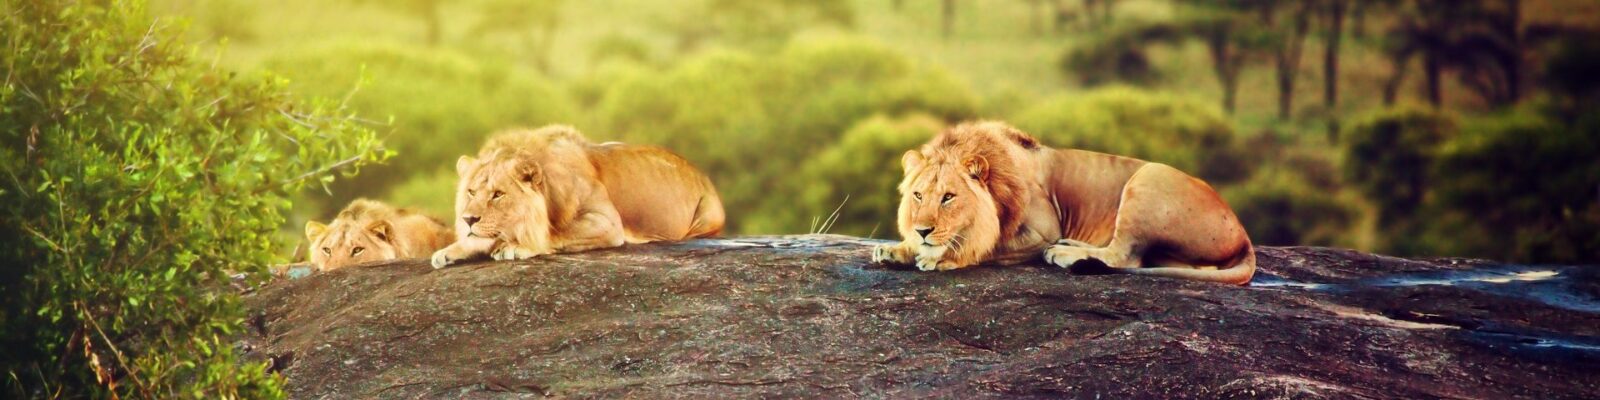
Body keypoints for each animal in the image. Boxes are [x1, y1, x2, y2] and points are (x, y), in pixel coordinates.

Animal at [428, 124, 723, 268]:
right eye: (471, 191)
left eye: (498, 194)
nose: (468, 219)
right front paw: (449, 251)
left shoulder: (607, 221)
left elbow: (554, 234)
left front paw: (516, 246)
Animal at [870, 120, 1254, 284]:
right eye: (918, 195)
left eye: (949, 197)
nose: (922, 230)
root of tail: (1244, 236)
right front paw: (896, 249)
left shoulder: (1043, 229)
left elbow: (989, 246)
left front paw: (939, 258)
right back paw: (1072, 246)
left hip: (1148, 179)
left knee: (1125, 256)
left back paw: (1064, 254)